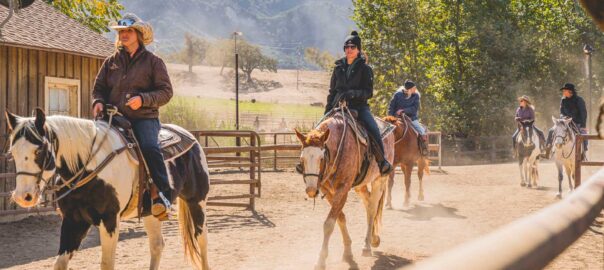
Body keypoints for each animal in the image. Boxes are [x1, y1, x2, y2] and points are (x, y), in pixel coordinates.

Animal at [4, 109, 210, 270]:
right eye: (13, 152)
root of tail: (190, 137)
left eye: (39, 150)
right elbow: (59, 263)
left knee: (201, 238)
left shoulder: (109, 220)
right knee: (157, 245)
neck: (89, 167)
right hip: (151, 212)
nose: (23, 196)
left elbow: (107, 263)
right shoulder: (73, 220)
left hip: (197, 201)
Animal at [294, 104, 396, 268]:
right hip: (360, 186)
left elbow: (329, 224)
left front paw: (321, 260)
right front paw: (348, 252)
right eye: (302, 158)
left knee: (372, 208)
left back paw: (367, 245)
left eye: (321, 158)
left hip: (379, 180)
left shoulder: (343, 189)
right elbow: (340, 218)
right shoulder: (328, 190)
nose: (311, 190)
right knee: (368, 204)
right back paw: (374, 238)